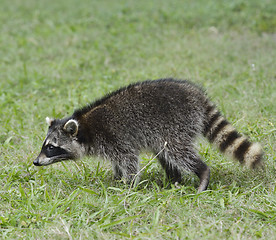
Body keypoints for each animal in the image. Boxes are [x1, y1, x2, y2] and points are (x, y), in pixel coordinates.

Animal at [34, 79, 264, 193]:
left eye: (51, 147)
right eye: (45, 145)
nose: (36, 161)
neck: (85, 127)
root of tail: (197, 96)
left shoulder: (116, 139)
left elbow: (129, 161)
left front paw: (127, 186)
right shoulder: (110, 145)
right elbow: (118, 163)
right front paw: (116, 179)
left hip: (176, 124)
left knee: (177, 152)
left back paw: (202, 173)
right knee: (164, 154)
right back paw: (173, 179)